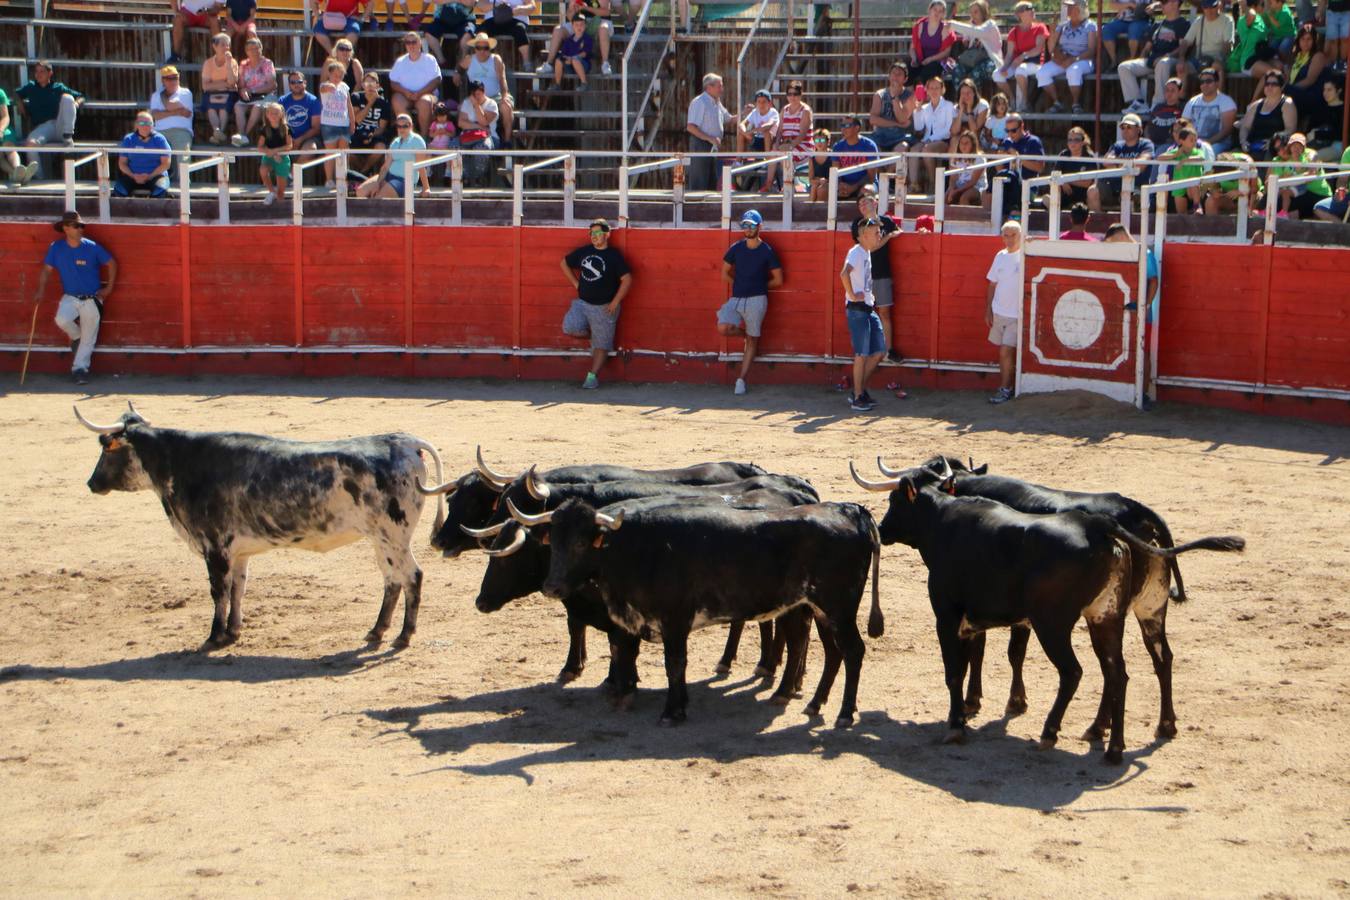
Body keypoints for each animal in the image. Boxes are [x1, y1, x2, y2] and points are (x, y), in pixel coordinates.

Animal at [76, 404, 445, 650]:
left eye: (106, 448)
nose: (91, 483)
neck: (182, 462)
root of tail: (406, 443)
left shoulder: (214, 547)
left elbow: (218, 591)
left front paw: (214, 636)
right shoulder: (238, 553)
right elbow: (238, 589)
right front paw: (233, 632)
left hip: (393, 537)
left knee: (411, 576)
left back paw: (403, 636)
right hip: (381, 540)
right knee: (392, 580)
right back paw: (376, 631)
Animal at [475, 483, 810, 701]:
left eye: (507, 558)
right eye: (553, 543)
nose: (480, 602)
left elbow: (621, 648)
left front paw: (619, 682)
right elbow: (596, 637)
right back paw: (776, 672)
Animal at [537, 499, 885, 734]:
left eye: (581, 542)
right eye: (553, 541)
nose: (551, 587)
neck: (637, 548)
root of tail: (848, 510)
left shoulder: (674, 620)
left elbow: (674, 664)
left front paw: (672, 712)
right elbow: (628, 653)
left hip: (839, 607)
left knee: (853, 651)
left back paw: (844, 714)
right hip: (819, 610)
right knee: (828, 651)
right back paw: (809, 701)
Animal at [858, 461, 1236, 766]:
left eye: (894, 502)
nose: (882, 529)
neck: (943, 517)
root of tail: (1101, 526)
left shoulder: (948, 614)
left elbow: (956, 669)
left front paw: (957, 723)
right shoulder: (984, 617)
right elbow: (986, 656)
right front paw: (980, 706)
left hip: (1054, 625)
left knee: (1075, 672)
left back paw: (1052, 731)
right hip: (1124, 614)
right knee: (1132, 668)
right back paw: (1125, 740)